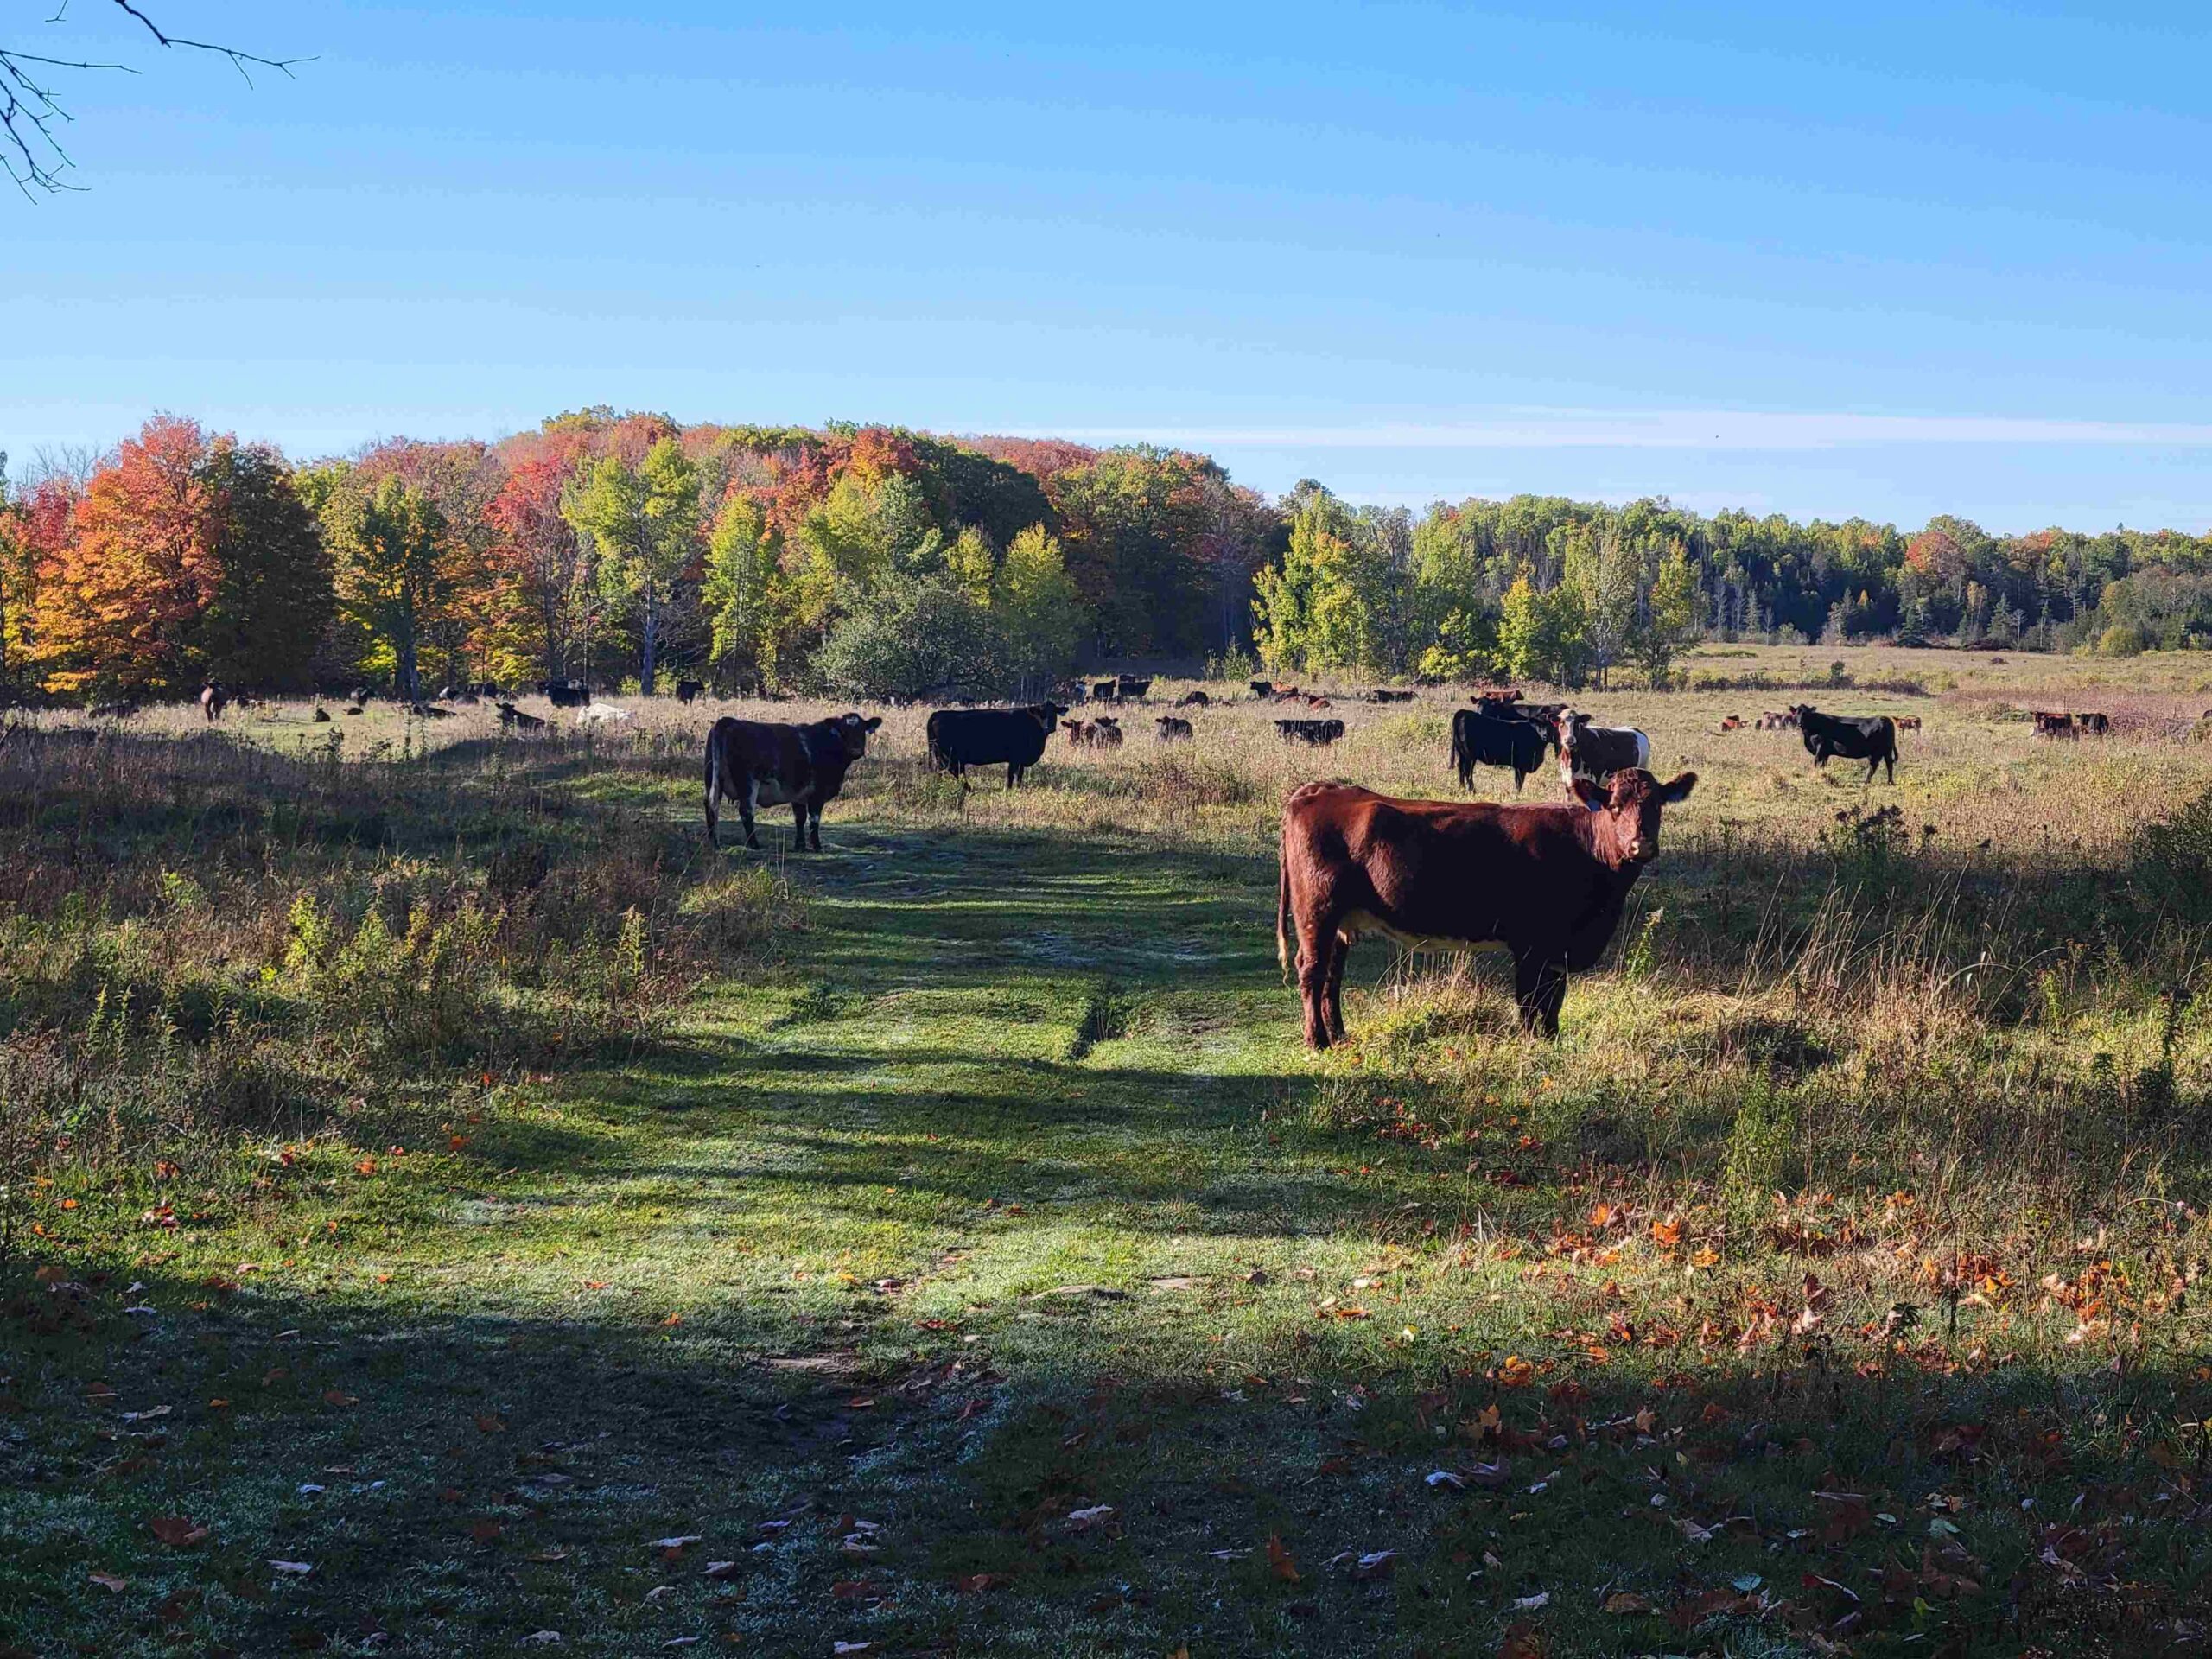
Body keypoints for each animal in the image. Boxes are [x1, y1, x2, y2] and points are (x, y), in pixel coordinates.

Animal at [704, 711, 883, 851]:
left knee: (710, 805)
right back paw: (753, 844)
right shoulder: (817, 792)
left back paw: (713, 841)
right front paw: (817, 846)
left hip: (712, 778)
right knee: (746, 811)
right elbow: (814, 819)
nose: (856, 750)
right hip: (748, 783)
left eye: (862, 730)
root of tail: (728, 721)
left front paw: (800, 845)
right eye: (843, 731)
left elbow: (800, 818)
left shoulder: (799, 793)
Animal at [926, 703, 1067, 787]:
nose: (1049, 727)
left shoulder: (1021, 759)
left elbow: (1020, 775)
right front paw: (1008, 790)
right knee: (952, 772)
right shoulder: (1015, 757)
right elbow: (1011, 775)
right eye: (1041, 714)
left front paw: (1019, 789)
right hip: (948, 756)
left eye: (1054, 713)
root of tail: (937, 714)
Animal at [1277, 770, 1698, 1048]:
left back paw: (1339, 1035)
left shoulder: (1557, 950)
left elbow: (1554, 998)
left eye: (1657, 804)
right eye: (1613, 806)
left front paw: (1552, 1039)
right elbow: (1530, 998)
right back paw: (1317, 1040)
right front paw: (1532, 1043)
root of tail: (1320, 789)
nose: (1641, 845)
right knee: (1311, 970)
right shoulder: (1531, 944)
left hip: (1340, 920)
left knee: (1332, 974)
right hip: (1317, 911)